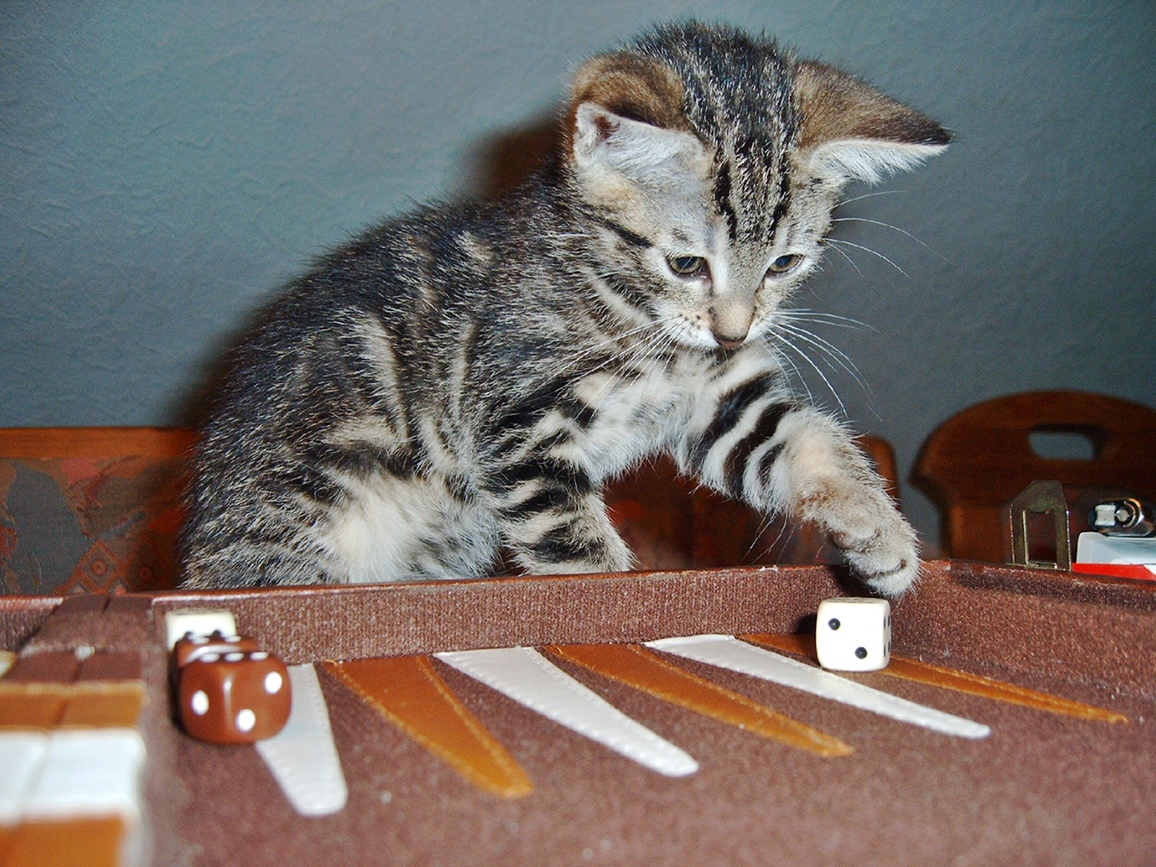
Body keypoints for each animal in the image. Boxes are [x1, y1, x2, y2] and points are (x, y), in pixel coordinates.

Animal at [182, 23, 947, 601]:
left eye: (783, 264)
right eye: (687, 264)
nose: (734, 330)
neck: (625, 301)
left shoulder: (723, 403)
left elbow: (807, 439)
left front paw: (883, 535)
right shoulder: (517, 426)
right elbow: (575, 550)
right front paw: (611, 607)